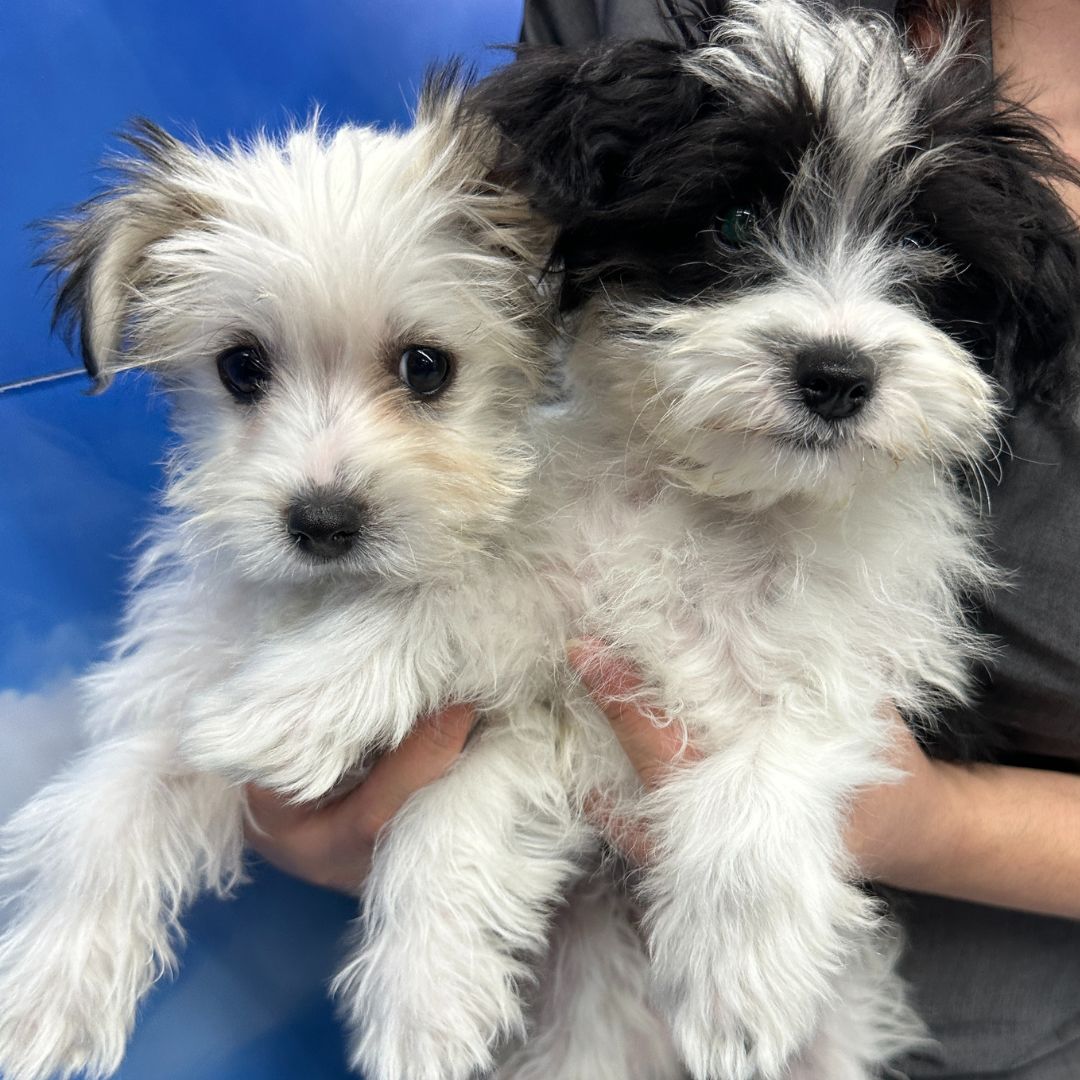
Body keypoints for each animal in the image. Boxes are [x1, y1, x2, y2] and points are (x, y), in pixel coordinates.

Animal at [0, 76, 596, 1080]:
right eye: (241, 366)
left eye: (426, 367)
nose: (321, 521)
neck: (332, 602)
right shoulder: (193, 696)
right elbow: (114, 804)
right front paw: (45, 987)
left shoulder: (544, 716)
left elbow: (455, 816)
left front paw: (423, 1000)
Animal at [475, 4, 1080, 1075]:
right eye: (733, 223)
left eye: (926, 243)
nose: (835, 374)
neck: (742, 509)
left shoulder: (887, 674)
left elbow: (780, 745)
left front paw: (735, 987)